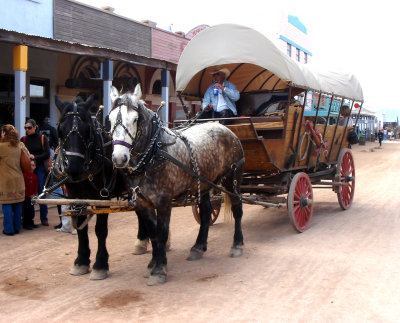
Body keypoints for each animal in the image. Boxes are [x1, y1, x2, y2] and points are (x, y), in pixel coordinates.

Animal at [54, 95, 157, 280]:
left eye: (87, 129)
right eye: (60, 128)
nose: (73, 168)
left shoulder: (102, 197)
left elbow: (100, 230)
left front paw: (100, 265)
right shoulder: (75, 196)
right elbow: (81, 228)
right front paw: (81, 261)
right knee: (141, 213)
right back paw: (141, 241)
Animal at [108, 85, 244, 286]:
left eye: (134, 119)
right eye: (109, 120)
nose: (119, 158)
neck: (154, 154)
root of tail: (225, 127)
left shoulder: (164, 202)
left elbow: (162, 233)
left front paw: (159, 270)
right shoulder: (143, 203)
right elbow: (153, 234)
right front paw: (152, 264)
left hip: (231, 180)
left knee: (237, 209)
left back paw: (237, 244)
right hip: (204, 184)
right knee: (206, 213)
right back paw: (198, 247)